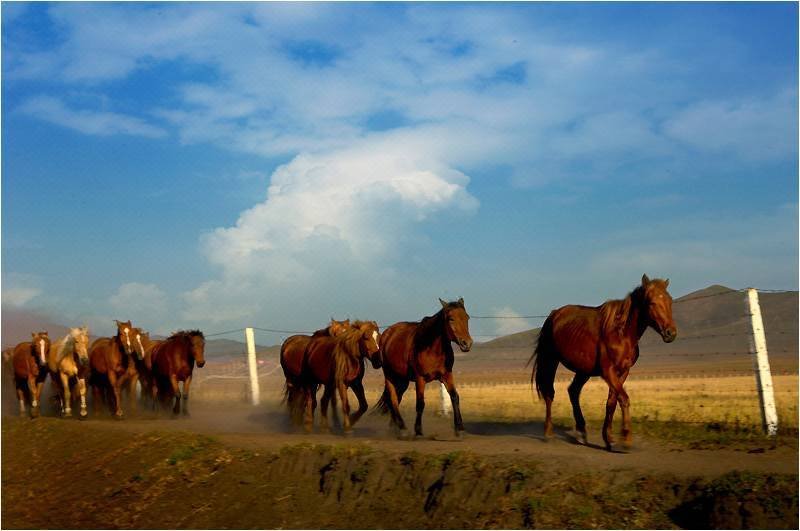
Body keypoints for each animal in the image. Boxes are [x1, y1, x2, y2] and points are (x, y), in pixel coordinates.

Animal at [376, 298, 473, 439]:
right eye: (451, 319)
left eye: (467, 317)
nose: (467, 343)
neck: (432, 348)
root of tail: (387, 334)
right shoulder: (420, 379)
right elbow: (420, 403)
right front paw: (418, 430)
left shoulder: (447, 375)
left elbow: (455, 397)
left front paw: (460, 429)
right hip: (390, 375)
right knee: (393, 399)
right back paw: (402, 428)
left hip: (402, 380)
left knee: (395, 399)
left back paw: (395, 428)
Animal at [529, 274, 677, 451]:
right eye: (652, 302)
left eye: (670, 301)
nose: (670, 333)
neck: (622, 334)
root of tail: (554, 314)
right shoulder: (608, 371)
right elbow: (624, 399)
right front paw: (626, 438)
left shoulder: (622, 372)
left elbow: (612, 403)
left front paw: (609, 438)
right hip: (550, 361)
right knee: (549, 393)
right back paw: (549, 433)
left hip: (583, 370)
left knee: (573, 391)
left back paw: (581, 432)